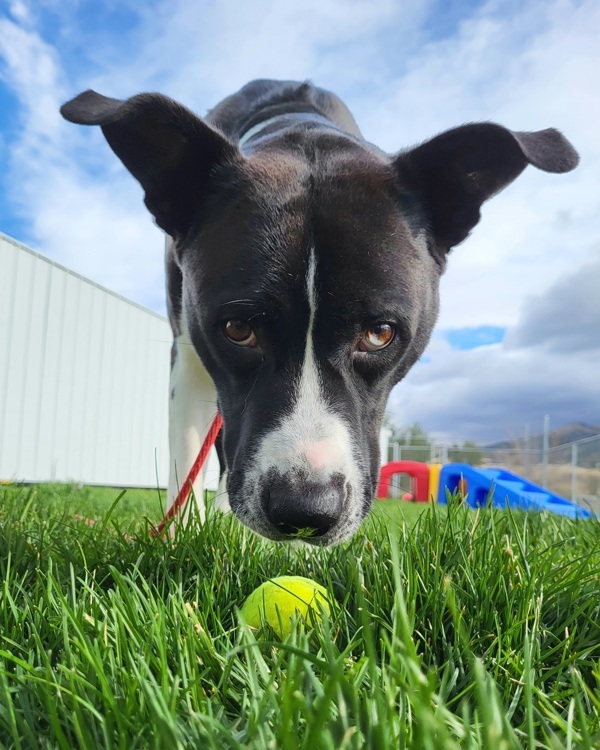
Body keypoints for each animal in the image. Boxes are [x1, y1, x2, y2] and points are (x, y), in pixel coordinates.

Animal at [59, 79, 576, 548]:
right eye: (237, 328)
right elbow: (188, 457)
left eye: (380, 333)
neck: (301, 128)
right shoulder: (187, 349)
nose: (304, 512)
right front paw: (182, 537)